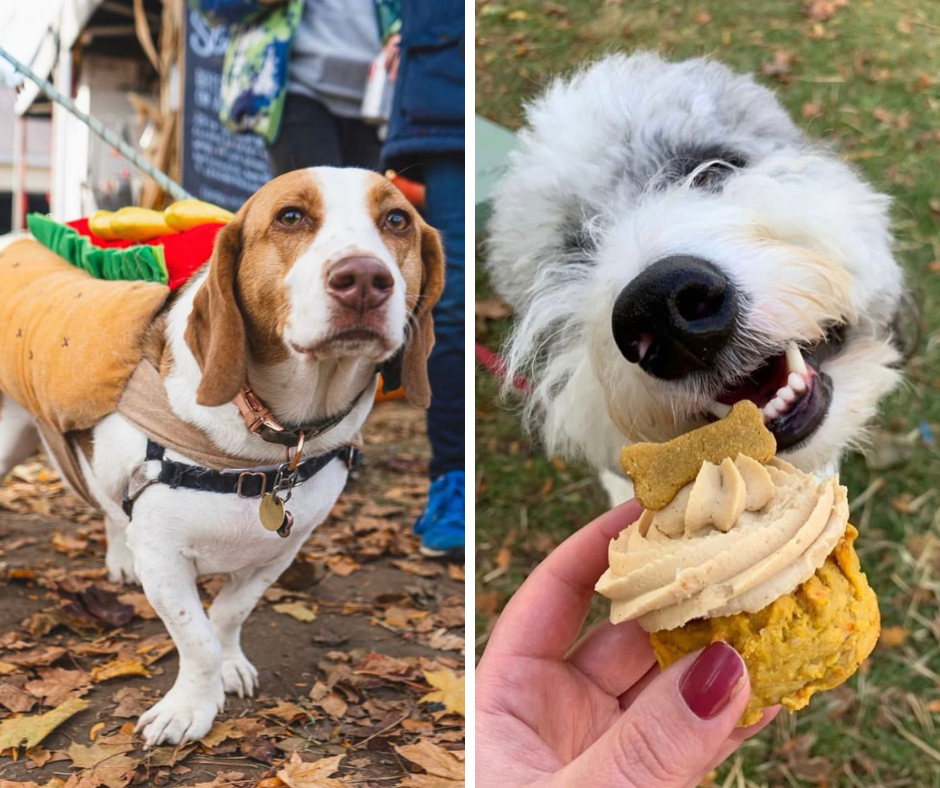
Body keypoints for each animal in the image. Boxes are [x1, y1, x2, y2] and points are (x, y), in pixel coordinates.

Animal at [0, 169, 444, 748]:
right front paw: (190, 705)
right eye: (290, 217)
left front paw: (228, 664)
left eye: (397, 220)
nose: (365, 279)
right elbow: (197, 637)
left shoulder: (281, 552)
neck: (270, 445)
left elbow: (229, 614)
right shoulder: (163, 561)